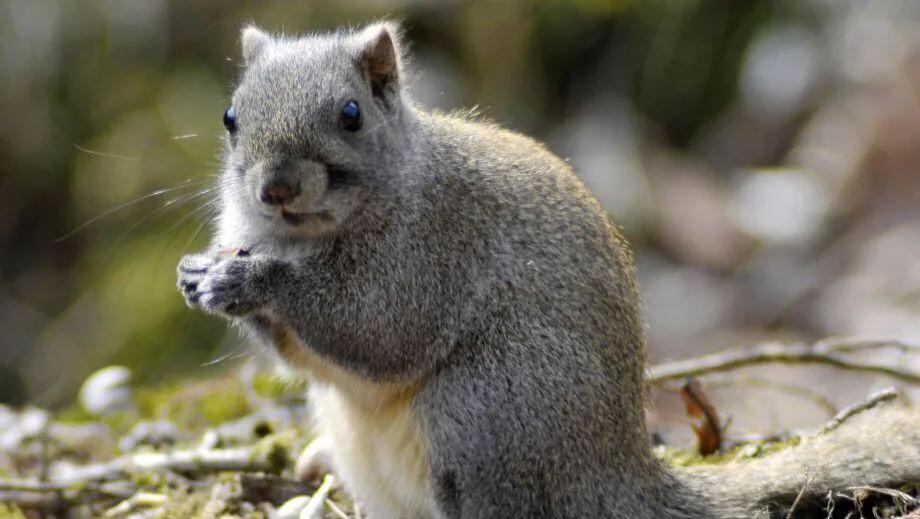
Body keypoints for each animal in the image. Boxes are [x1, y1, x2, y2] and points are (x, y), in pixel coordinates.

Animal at [178, 21, 920, 519]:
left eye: (352, 114)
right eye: (231, 115)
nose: (275, 188)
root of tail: (615, 475)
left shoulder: (431, 249)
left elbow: (377, 328)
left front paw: (252, 282)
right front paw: (200, 274)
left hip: (484, 415)